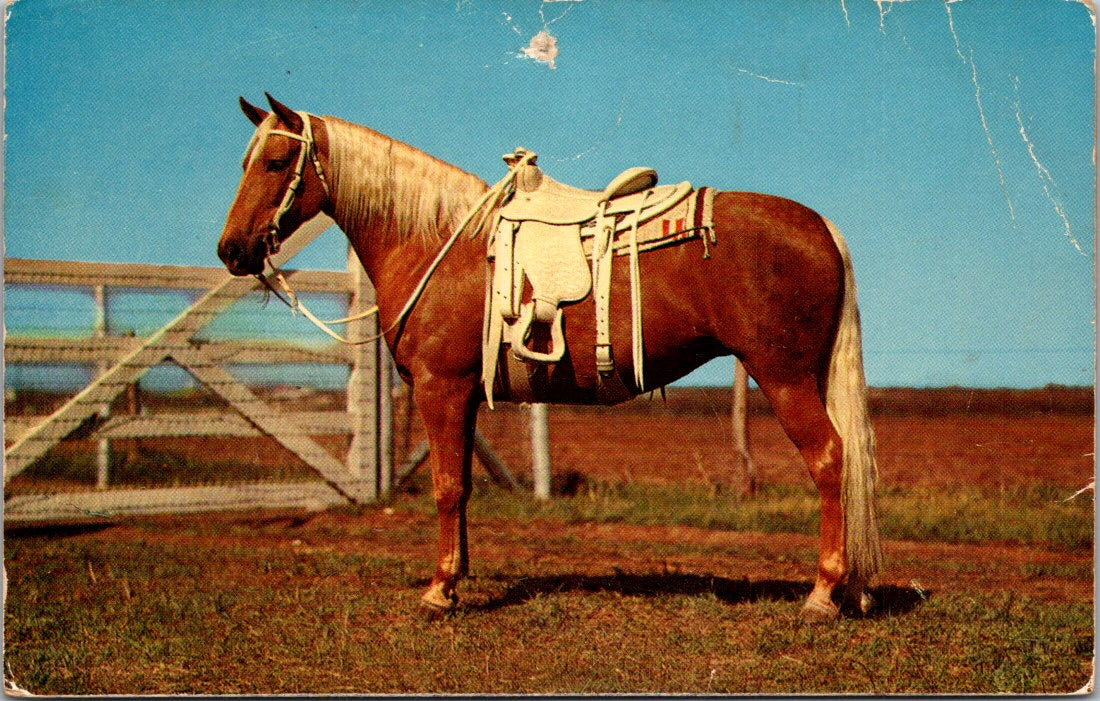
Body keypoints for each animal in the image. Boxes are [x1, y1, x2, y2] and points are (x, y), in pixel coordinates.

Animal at [218, 91, 880, 616]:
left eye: (275, 161)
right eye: (244, 162)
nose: (231, 250)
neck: (437, 239)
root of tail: (821, 227)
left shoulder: (439, 386)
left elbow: (445, 487)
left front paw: (438, 592)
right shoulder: (463, 395)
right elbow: (461, 486)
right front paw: (456, 578)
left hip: (784, 377)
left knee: (829, 460)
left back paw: (823, 594)